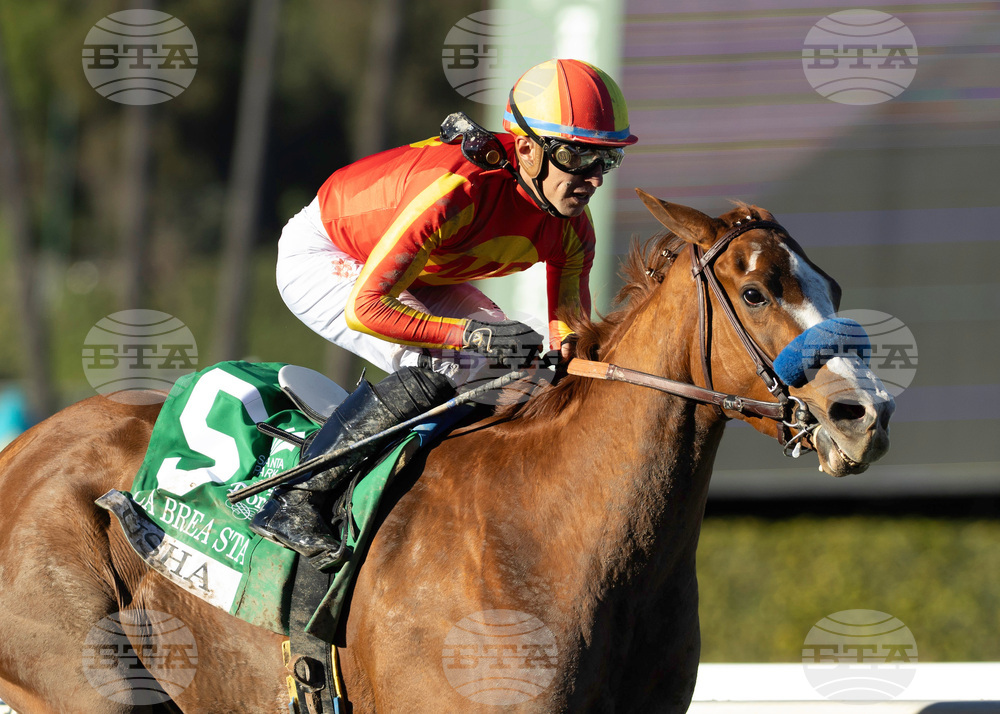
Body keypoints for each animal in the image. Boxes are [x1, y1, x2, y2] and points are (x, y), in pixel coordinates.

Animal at [0, 194, 893, 713]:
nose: (865, 415)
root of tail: (23, 450)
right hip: (82, 675)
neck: (555, 531)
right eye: (756, 292)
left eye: (835, 289)